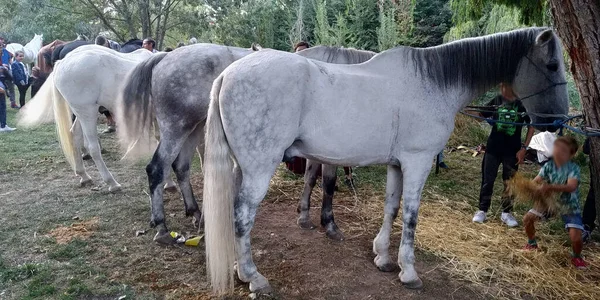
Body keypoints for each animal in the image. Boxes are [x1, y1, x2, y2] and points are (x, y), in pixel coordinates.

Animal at [19, 45, 155, 193]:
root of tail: (63, 63)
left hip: (82, 113)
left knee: (75, 135)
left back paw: (84, 175)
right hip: (88, 112)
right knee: (93, 148)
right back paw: (112, 183)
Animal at [118, 44, 376, 244]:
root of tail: (164, 57)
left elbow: (310, 178)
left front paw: (304, 215)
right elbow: (328, 184)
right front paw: (329, 224)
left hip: (194, 128)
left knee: (180, 166)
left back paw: (196, 213)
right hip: (175, 129)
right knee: (157, 169)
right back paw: (162, 227)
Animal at [202, 28, 568, 292]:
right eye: (551, 65)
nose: (557, 121)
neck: (433, 83)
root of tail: (227, 74)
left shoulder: (397, 164)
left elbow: (391, 207)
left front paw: (383, 256)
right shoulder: (418, 162)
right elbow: (410, 215)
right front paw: (409, 272)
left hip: (241, 167)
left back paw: (238, 270)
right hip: (259, 169)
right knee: (242, 216)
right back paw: (254, 277)